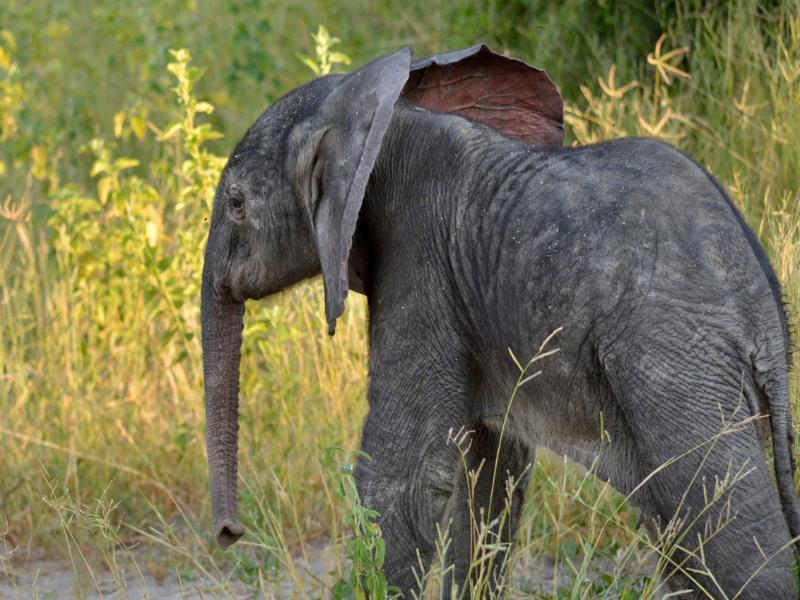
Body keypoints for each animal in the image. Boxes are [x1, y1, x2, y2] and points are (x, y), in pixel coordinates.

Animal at [202, 44, 800, 596]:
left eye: (236, 204)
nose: (231, 533)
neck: (378, 117)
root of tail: (765, 315)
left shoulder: (420, 259)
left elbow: (404, 476)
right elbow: (490, 474)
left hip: (674, 358)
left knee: (717, 510)